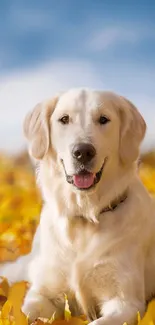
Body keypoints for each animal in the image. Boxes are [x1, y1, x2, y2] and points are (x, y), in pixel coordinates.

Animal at [1, 88, 155, 324]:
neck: (84, 216)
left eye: (103, 119)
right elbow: (24, 313)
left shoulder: (126, 303)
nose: (83, 152)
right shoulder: (43, 293)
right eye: (64, 119)